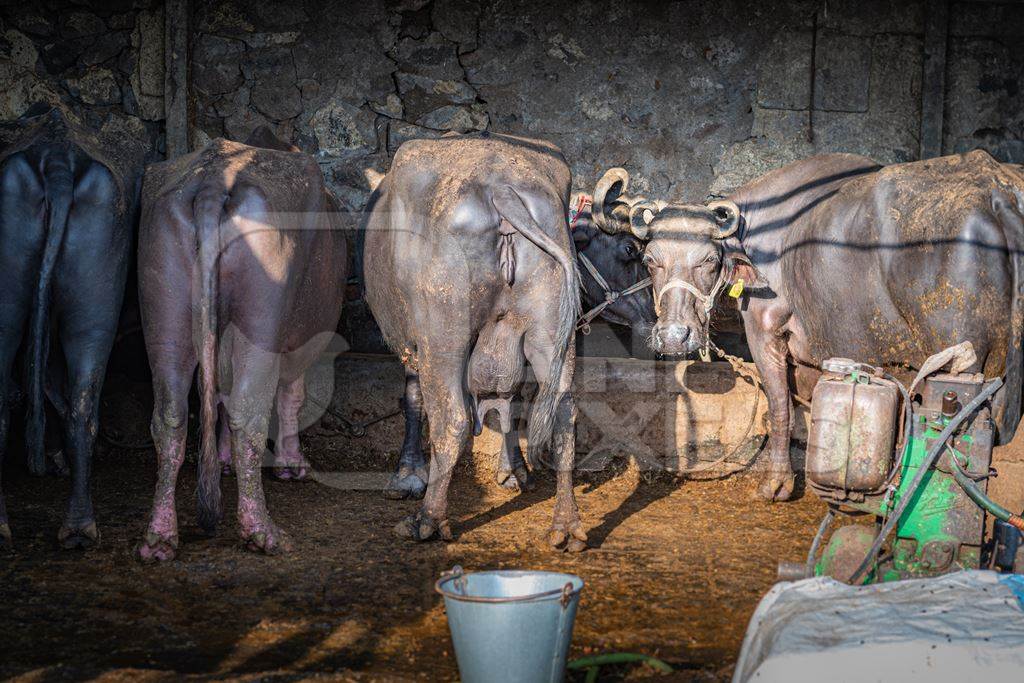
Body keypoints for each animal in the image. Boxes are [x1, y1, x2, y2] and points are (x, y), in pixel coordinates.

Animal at [593, 153, 1024, 501]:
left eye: (708, 261)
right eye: (650, 260)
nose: (673, 336)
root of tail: (996, 193)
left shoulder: (765, 331)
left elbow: (780, 405)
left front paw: (776, 484)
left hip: (962, 368)